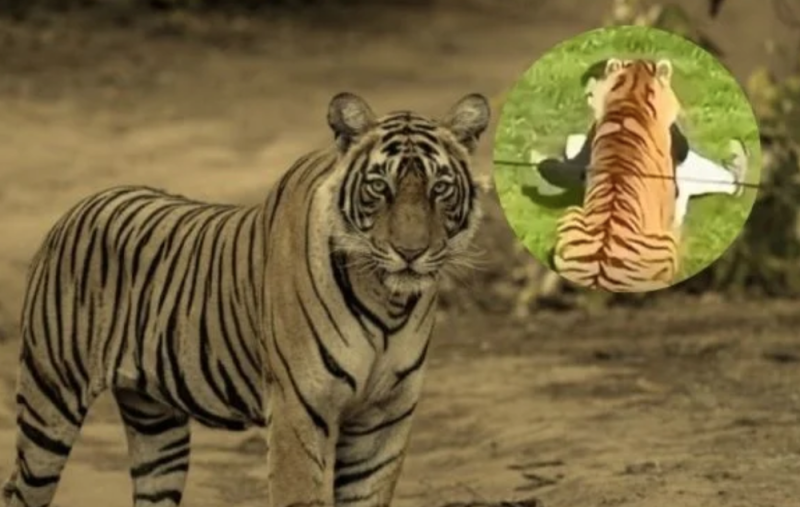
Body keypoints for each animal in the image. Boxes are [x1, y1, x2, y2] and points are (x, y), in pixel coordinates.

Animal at [2, 91, 490, 507]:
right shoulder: (298, 411)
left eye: (439, 188)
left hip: (156, 424)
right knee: (20, 489)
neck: (388, 304)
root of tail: (77, 206)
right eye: (378, 188)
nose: (411, 252)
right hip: (50, 401)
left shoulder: (385, 418)